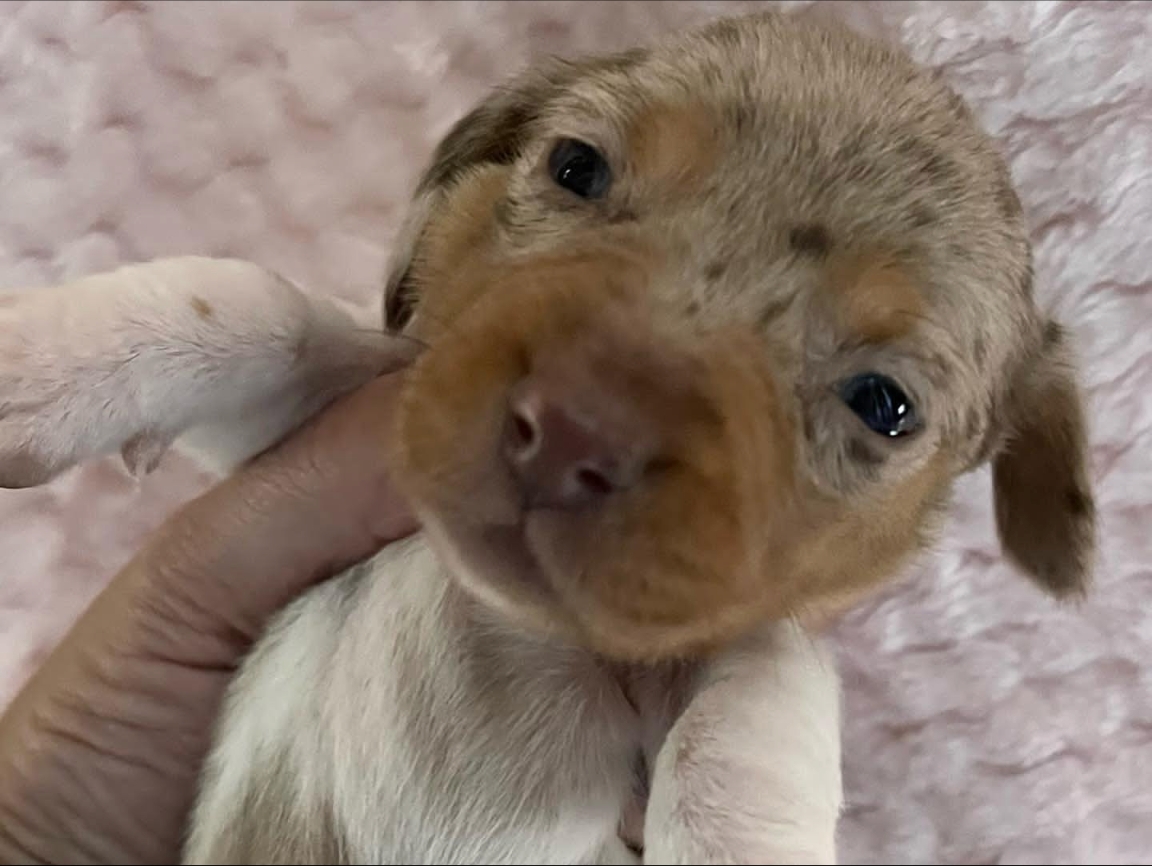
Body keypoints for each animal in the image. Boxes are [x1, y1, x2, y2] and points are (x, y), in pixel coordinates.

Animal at [0, 8, 1092, 866]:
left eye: (883, 404)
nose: (572, 429)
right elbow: (259, 311)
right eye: (578, 165)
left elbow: (758, 702)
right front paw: (41, 361)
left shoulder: (736, 649)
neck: (508, 615)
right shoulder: (347, 414)